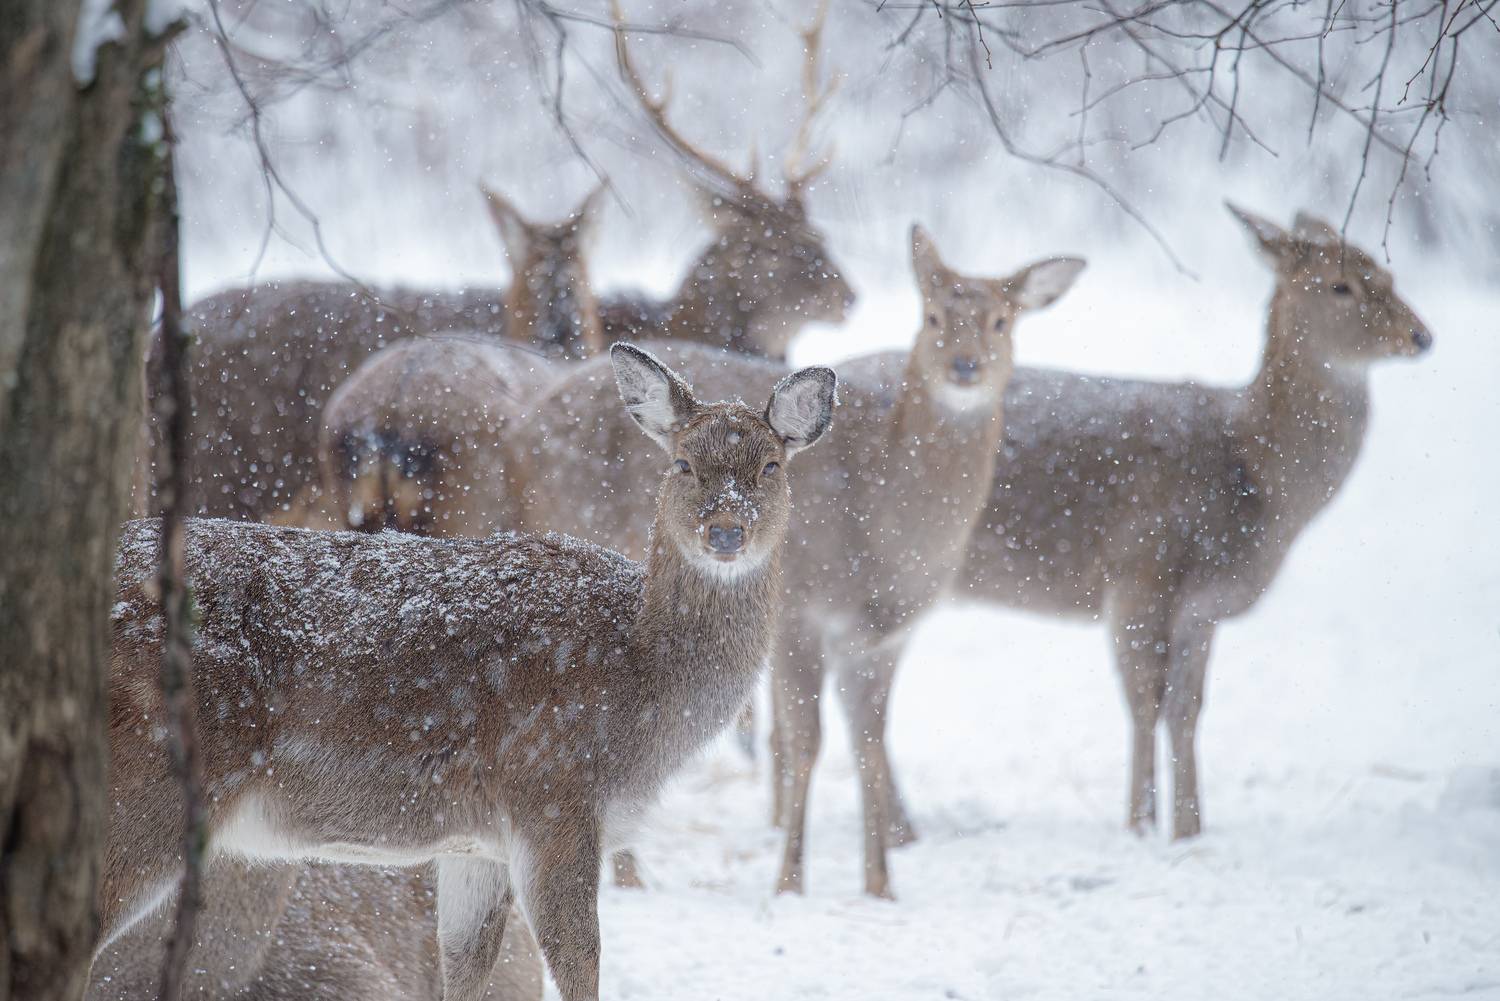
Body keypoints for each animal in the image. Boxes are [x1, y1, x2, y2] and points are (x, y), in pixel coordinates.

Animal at [499, 228, 1085, 898]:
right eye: (933, 315)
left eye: (1001, 321)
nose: (965, 366)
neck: (889, 536)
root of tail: (522, 426)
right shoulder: (803, 611)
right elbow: (807, 742)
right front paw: (789, 882)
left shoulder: (885, 637)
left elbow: (869, 747)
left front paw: (880, 884)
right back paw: (627, 875)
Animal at [951, 204, 1433, 841]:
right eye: (1340, 285)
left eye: (1389, 274)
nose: (1421, 336)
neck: (1252, 476)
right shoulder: (1138, 571)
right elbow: (1143, 701)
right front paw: (1139, 826)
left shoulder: (1202, 608)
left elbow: (1187, 707)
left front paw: (1188, 828)